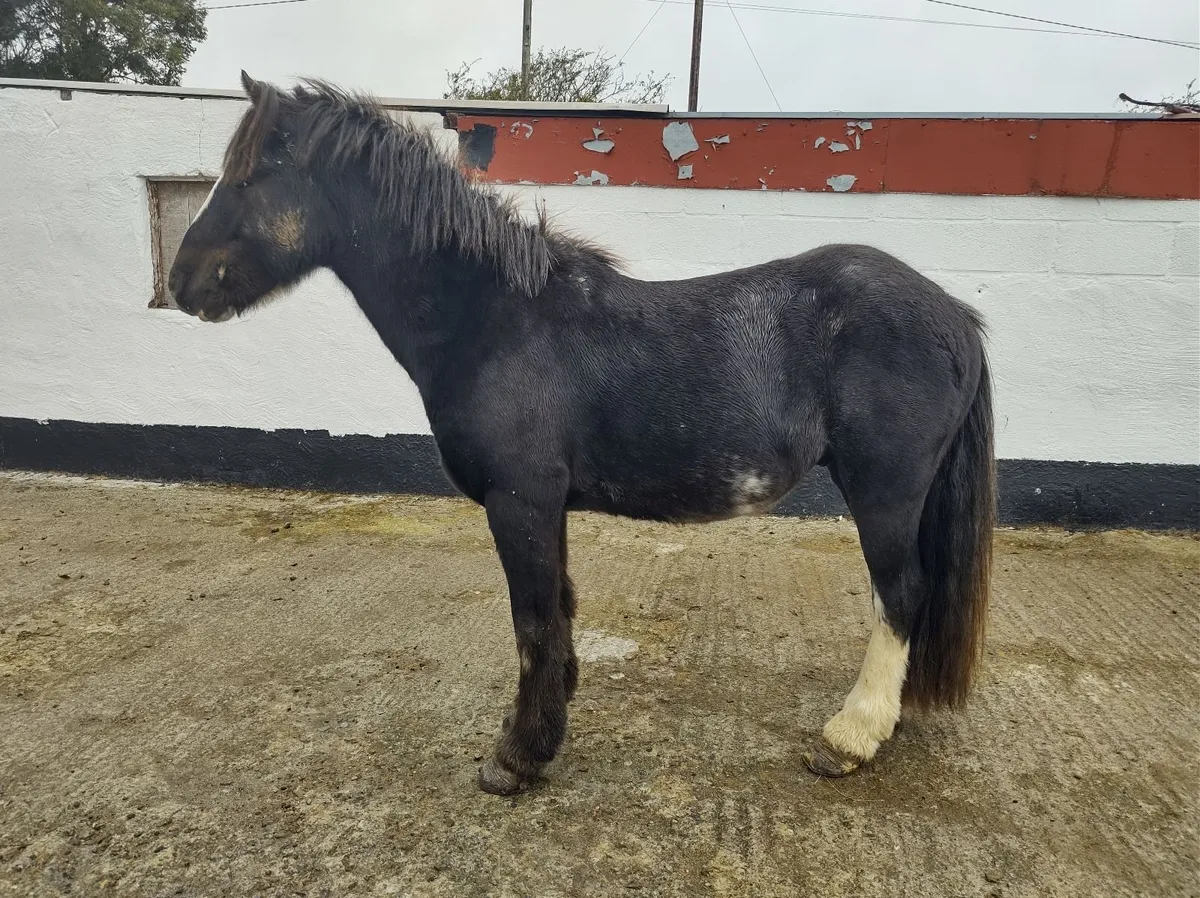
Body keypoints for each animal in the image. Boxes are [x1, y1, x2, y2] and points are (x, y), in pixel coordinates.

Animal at [168, 72, 995, 795]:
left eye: (251, 176)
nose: (179, 281)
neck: (496, 321)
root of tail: (953, 314)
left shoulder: (520, 501)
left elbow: (532, 621)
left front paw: (518, 757)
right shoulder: (546, 505)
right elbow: (558, 612)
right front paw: (547, 718)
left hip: (884, 491)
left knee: (901, 594)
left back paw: (853, 735)